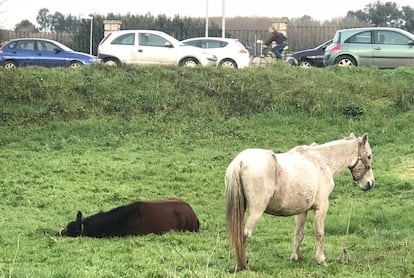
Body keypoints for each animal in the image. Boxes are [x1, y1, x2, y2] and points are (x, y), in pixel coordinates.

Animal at [226, 134, 376, 270]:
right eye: (369, 156)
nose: (370, 183)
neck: (321, 162)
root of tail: (240, 162)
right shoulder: (321, 208)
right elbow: (320, 234)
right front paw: (321, 260)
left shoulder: (302, 211)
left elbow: (298, 234)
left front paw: (294, 258)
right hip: (256, 211)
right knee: (245, 235)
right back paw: (243, 265)